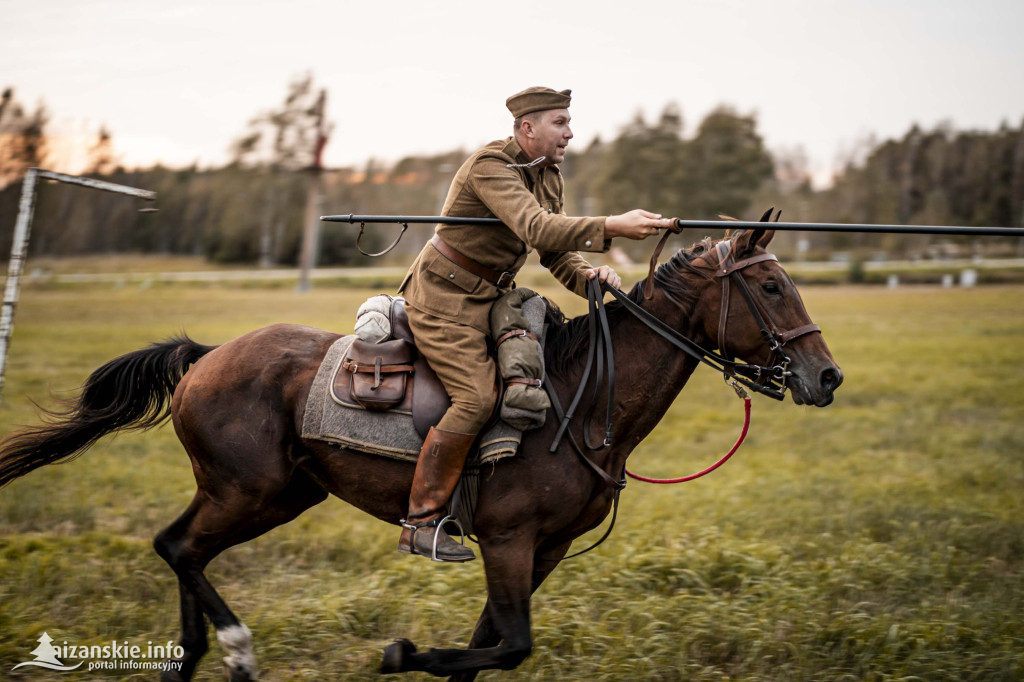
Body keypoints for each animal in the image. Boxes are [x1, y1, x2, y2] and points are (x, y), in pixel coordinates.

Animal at [0, 225, 839, 675]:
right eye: (770, 286)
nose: (824, 374)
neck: (581, 398)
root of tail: (206, 355)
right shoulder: (507, 541)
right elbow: (508, 647)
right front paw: (401, 653)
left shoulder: (542, 551)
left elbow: (489, 645)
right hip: (250, 493)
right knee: (176, 547)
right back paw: (237, 650)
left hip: (268, 493)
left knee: (184, 551)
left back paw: (205, 657)